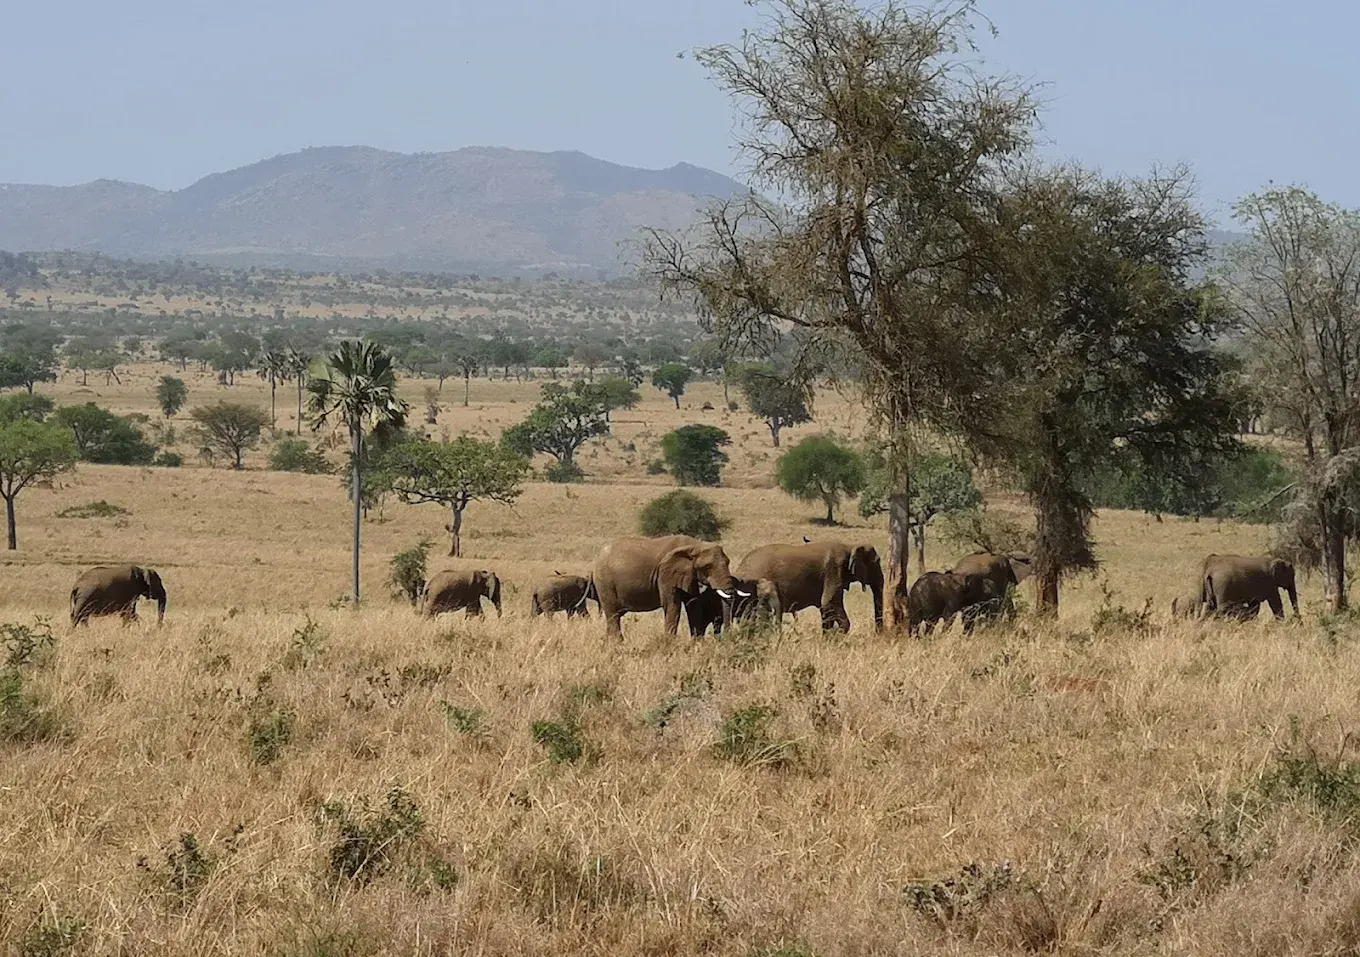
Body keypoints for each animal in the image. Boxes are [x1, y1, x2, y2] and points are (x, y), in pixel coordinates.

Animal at [591, 535, 744, 638]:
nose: (727, 637)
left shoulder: (689, 575)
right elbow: (672, 605)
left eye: (728, 562)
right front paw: (670, 645)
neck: (695, 545)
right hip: (604, 582)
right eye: (707, 567)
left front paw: (696, 644)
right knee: (613, 615)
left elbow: (693, 605)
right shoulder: (665, 574)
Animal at [735, 541, 884, 632]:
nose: (878, 634)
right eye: (877, 562)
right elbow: (829, 602)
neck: (850, 546)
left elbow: (825, 608)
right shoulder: (833, 571)